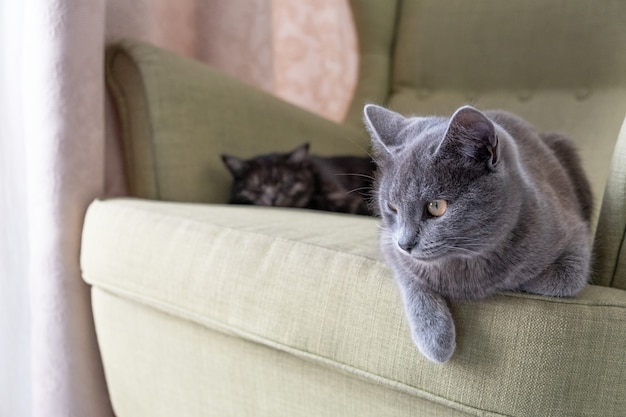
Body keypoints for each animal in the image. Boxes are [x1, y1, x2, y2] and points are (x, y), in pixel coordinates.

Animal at [360, 105, 588, 364]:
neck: (465, 260)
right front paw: (435, 339)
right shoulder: (389, 243)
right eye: (392, 207)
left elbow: (562, 279)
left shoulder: (575, 235)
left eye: (436, 206)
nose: (405, 244)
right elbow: (410, 277)